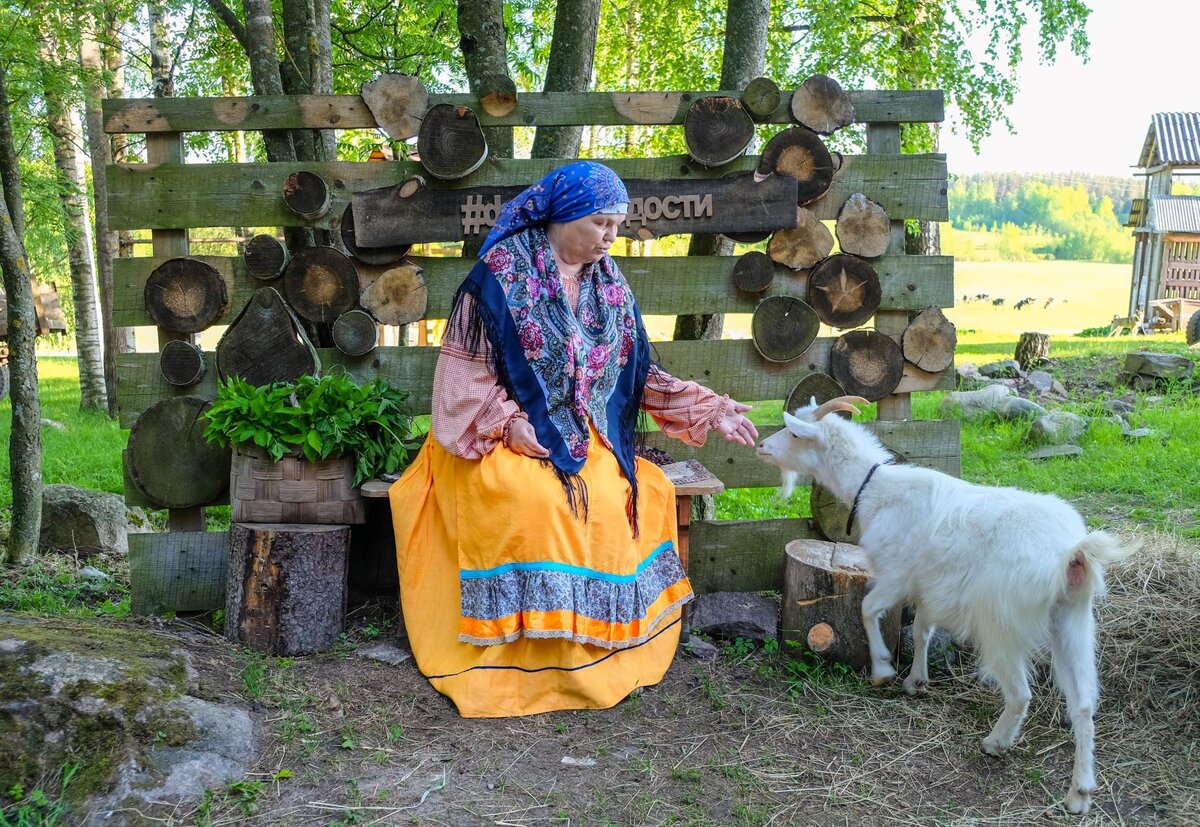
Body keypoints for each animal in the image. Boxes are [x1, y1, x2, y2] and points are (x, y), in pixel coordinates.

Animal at [758, 396, 1132, 811]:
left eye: (795, 433)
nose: (761, 446)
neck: (877, 490)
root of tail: (1070, 555)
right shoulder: (928, 586)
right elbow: (922, 629)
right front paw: (916, 681)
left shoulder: (897, 574)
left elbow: (868, 609)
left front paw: (883, 669)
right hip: (1072, 620)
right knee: (1083, 704)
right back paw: (1079, 792)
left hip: (1001, 621)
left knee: (1020, 693)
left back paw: (996, 742)